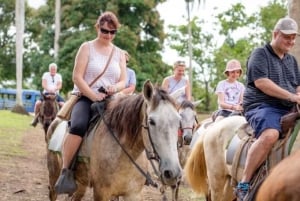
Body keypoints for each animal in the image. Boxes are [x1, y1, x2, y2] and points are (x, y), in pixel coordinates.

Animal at [45, 81, 182, 201]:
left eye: (179, 121)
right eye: (151, 121)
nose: (172, 173)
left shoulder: (133, 194)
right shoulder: (101, 192)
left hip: (81, 184)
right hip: (54, 175)